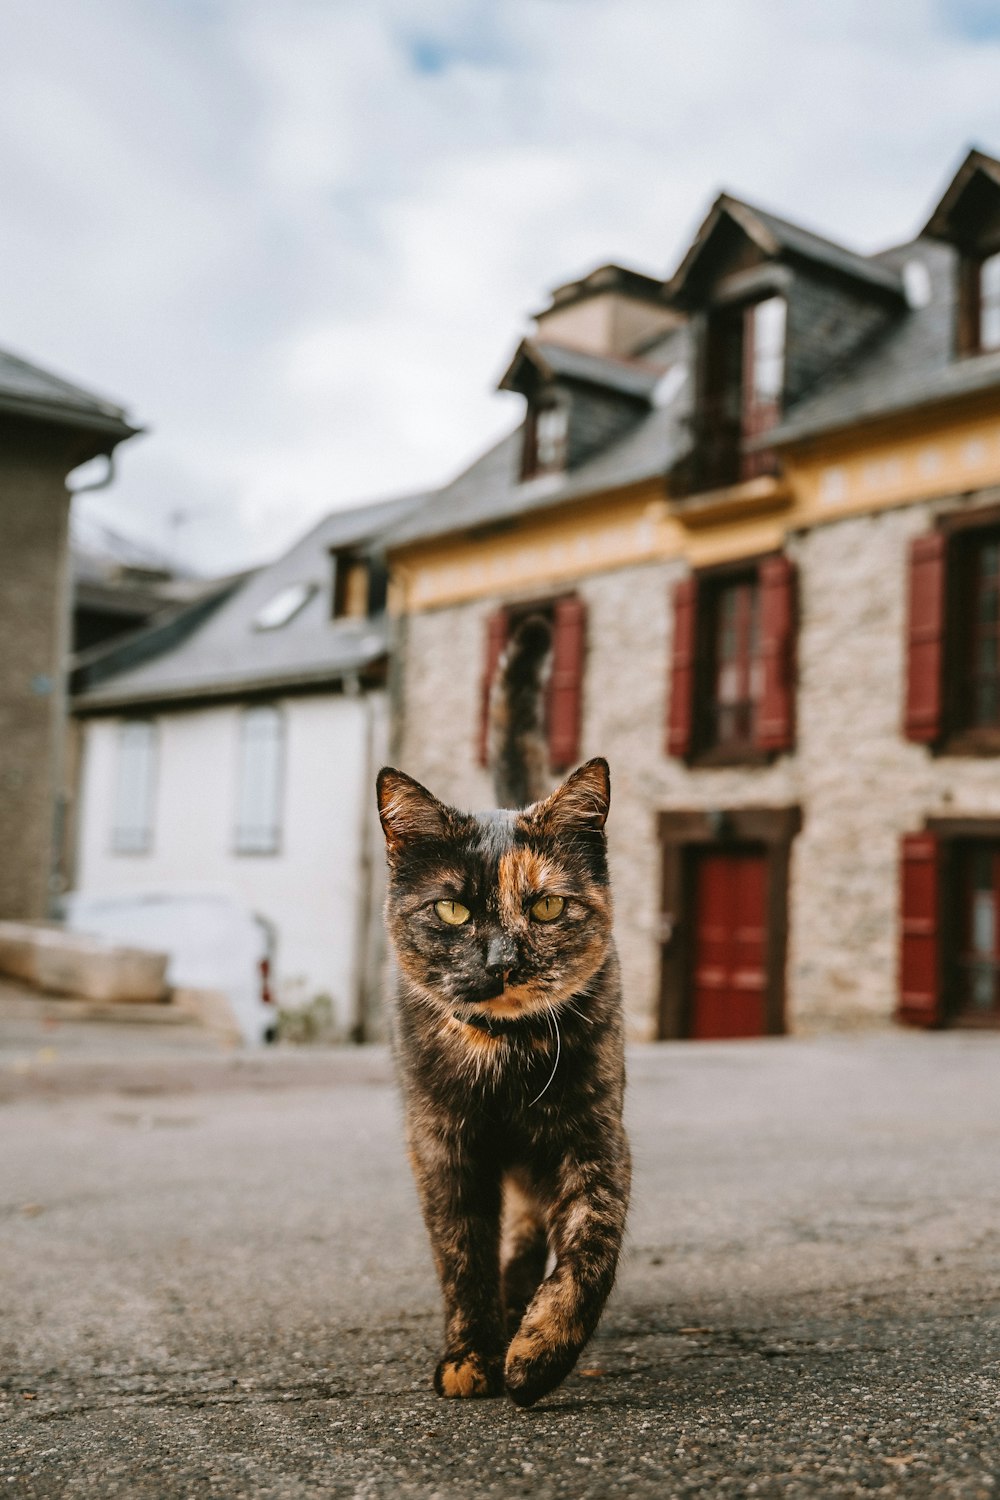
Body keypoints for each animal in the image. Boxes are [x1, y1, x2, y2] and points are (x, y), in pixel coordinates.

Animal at [379, 618, 629, 1404]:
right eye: (454, 909)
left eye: (547, 906)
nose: (503, 961)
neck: (506, 1058)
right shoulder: (442, 1147)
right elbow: (461, 1255)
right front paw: (470, 1354)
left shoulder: (594, 1135)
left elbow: (592, 1243)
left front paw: (539, 1352)